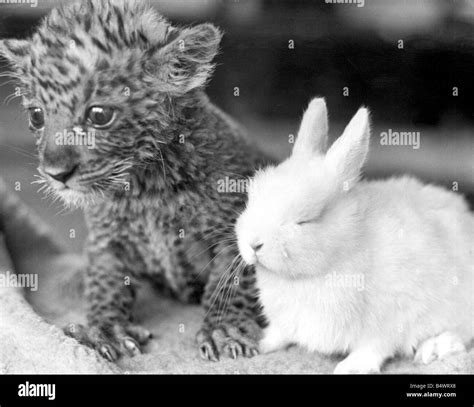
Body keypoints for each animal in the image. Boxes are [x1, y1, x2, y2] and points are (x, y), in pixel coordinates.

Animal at [237, 98, 474, 372]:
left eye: (305, 221)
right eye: (252, 199)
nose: (253, 243)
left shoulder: (389, 318)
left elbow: (374, 347)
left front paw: (351, 367)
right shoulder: (286, 321)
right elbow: (280, 333)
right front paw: (260, 343)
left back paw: (434, 348)